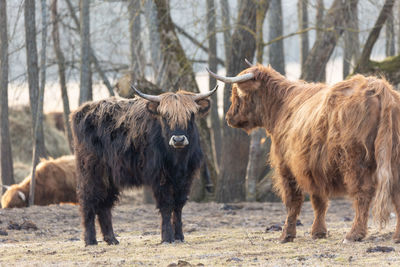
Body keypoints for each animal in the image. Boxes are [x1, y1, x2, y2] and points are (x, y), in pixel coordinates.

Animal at [70, 86, 217, 247]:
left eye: (191, 115)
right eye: (165, 116)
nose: (178, 139)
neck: (178, 160)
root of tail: (81, 110)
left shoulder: (186, 178)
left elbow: (178, 205)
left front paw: (179, 236)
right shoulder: (160, 177)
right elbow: (166, 205)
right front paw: (167, 237)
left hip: (109, 176)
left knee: (105, 204)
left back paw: (112, 239)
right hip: (91, 171)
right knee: (88, 200)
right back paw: (90, 240)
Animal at [208, 62, 400, 245]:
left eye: (237, 94)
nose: (229, 117)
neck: (280, 108)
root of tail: (378, 87)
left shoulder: (286, 166)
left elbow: (293, 201)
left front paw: (286, 235)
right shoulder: (314, 168)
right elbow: (319, 201)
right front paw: (318, 232)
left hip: (354, 160)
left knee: (362, 194)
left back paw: (353, 234)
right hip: (393, 160)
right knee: (395, 193)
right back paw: (397, 236)